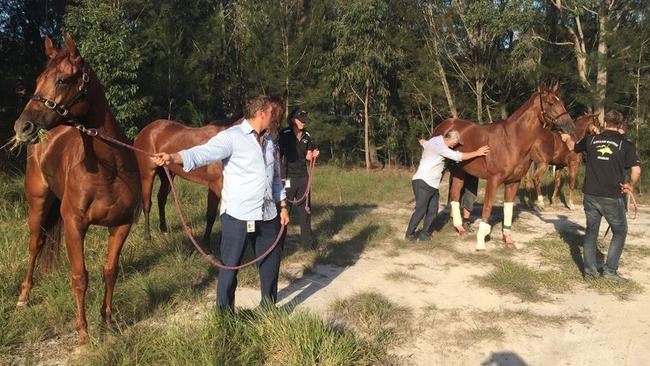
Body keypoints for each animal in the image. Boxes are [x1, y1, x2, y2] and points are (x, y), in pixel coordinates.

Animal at [10, 34, 139, 344]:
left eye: (63, 80)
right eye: (38, 79)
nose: (22, 127)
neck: (108, 169)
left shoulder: (122, 225)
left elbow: (110, 271)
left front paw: (107, 324)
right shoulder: (74, 225)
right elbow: (80, 277)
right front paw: (83, 336)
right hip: (37, 204)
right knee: (34, 246)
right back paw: (23, 297)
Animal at [432, 82, 568, 249]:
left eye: (561, 101)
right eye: (551, 103)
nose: (570, 125)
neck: (512, 140)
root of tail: (446, 123)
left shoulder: (513, 182)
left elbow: (508, 209)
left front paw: (508, 239)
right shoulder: (494, 179)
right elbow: (487, 207)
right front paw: (481, 242)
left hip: (459, 171)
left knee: (455, 195)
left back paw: (460, 228)